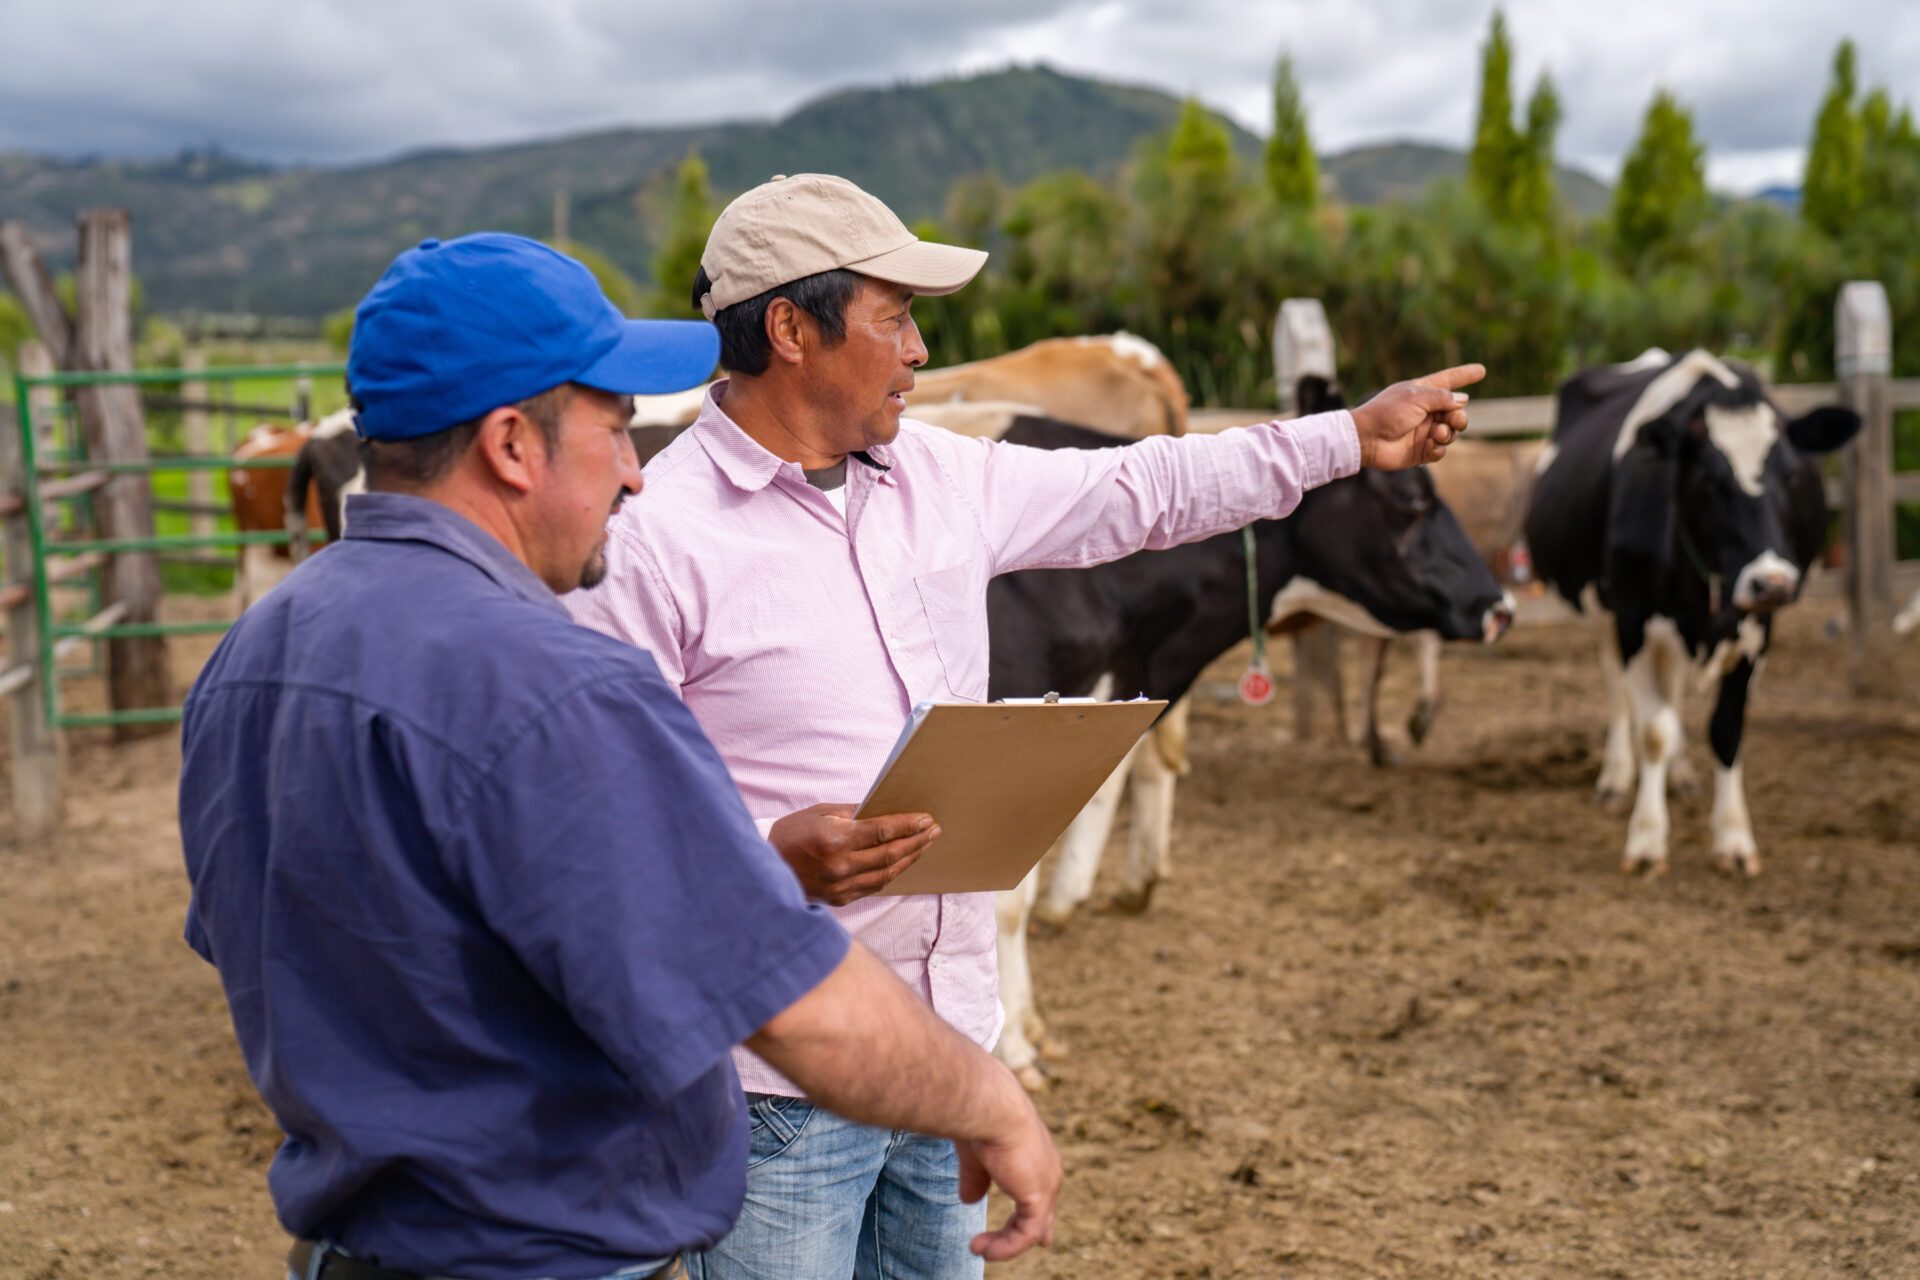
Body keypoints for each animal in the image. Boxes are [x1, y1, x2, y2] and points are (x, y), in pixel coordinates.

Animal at [1520, 347, 1850, 882]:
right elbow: (1654, 729)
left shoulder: (1758, 632)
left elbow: (1726, 729)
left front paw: (1733, 839)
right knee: (1619, 691)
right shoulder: (1632, 619)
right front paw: (1647, 840)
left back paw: (1680, 774)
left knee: (1670, 692)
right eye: (1710, 480)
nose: (1773, 582)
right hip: (1604, 613)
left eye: (1792, 476)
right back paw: (1616, 777)